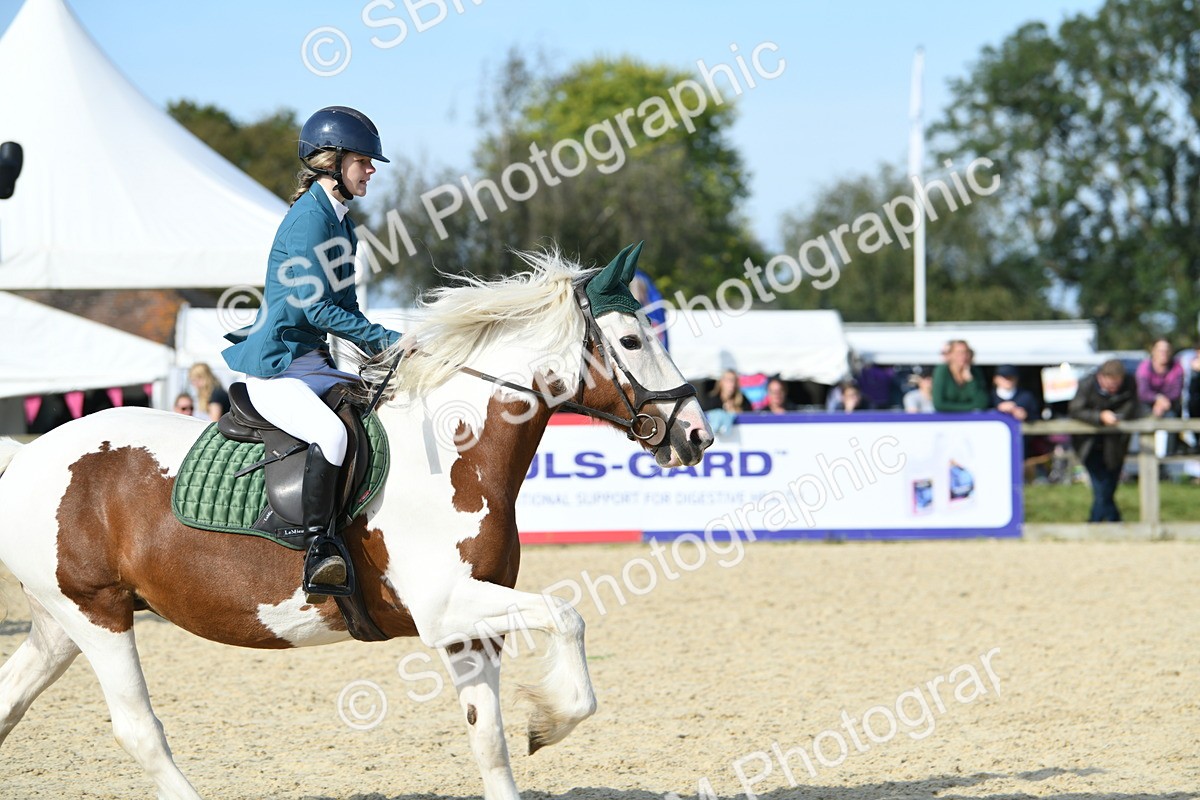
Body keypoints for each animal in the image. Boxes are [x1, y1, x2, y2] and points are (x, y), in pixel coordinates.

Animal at [0, 244, 714, 800]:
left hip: (63, 621)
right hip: (96, 613)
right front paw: (550, 720)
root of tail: (28, 454)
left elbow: (489, 740)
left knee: (13, 698)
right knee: (139, 730)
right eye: (631, 341)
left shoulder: (470, 627)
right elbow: (568, 616)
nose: (698, 435)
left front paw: (532, 727)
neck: (455, 454)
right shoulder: (445, 607)